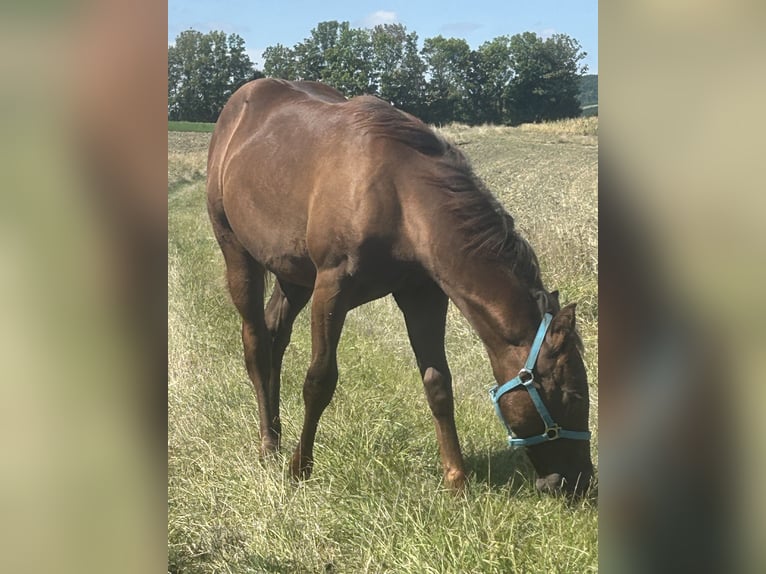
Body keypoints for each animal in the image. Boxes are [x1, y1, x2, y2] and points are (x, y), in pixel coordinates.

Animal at [206, 78, 594, 496]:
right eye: (572, 395)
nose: (581, 480)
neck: (401, 197)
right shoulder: (332, 288)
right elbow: (319, 379)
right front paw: (300, 468)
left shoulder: (423, 295)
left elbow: (438, 382)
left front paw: (456, 478)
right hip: (237, 253)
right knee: (257, 343)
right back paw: (268, 446)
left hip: (293, 276)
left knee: (275, 335)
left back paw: (276, 435)